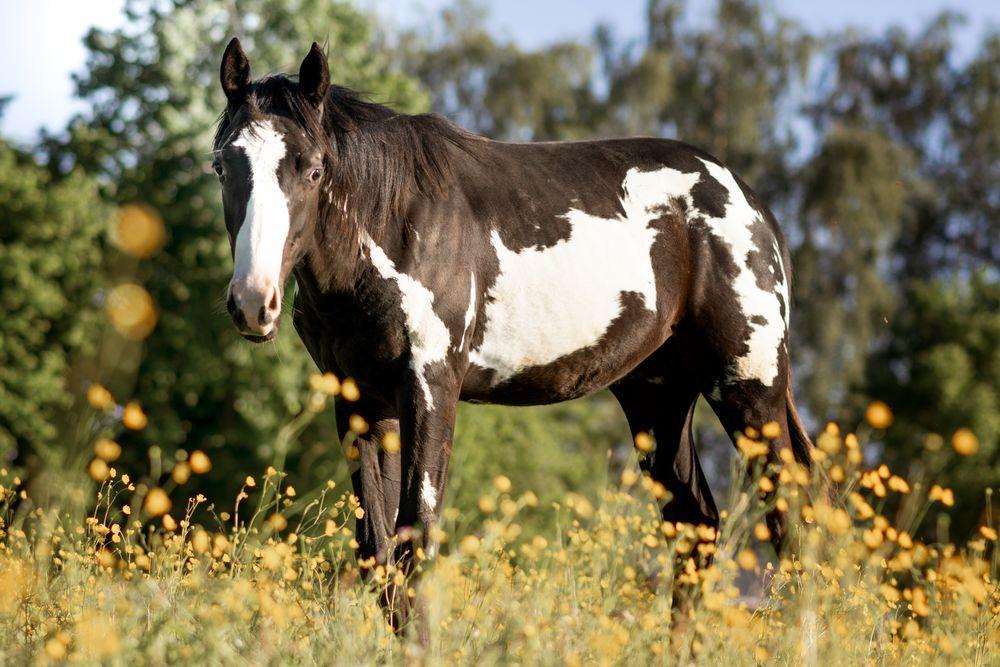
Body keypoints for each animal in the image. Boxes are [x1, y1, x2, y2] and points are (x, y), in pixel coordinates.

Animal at [215, 36, 816, 600]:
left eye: (314, 171)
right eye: (222, 166)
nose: (253, 301)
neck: (395, 223)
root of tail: (751, 204)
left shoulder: (430, 387)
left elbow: (417, 541)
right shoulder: (360, 398)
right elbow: (377, 553)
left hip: (749, 388)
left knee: (793, 522)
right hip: (658, 397)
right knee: (697, 529)